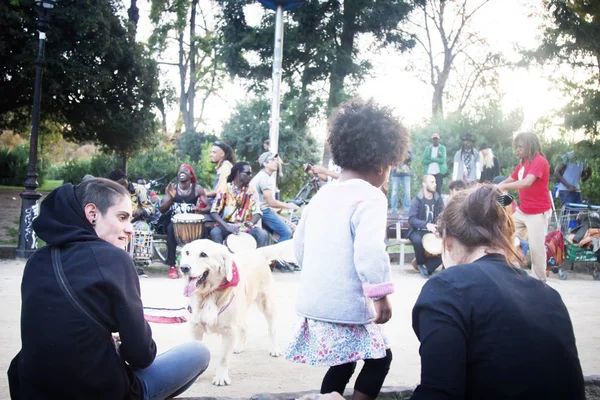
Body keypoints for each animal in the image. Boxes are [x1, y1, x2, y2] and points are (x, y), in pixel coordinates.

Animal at [178, 239, 292, 386]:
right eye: (187, 253)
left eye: (203, 254)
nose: (184, 268)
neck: (209, 295)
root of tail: (257, 251)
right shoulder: (195, 326)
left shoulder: (228, 330)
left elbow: (223, 358)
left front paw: (221, 377)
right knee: (244, 326)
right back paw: (238, 346)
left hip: (267, 303)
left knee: (272, 328)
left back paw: (274, 349)